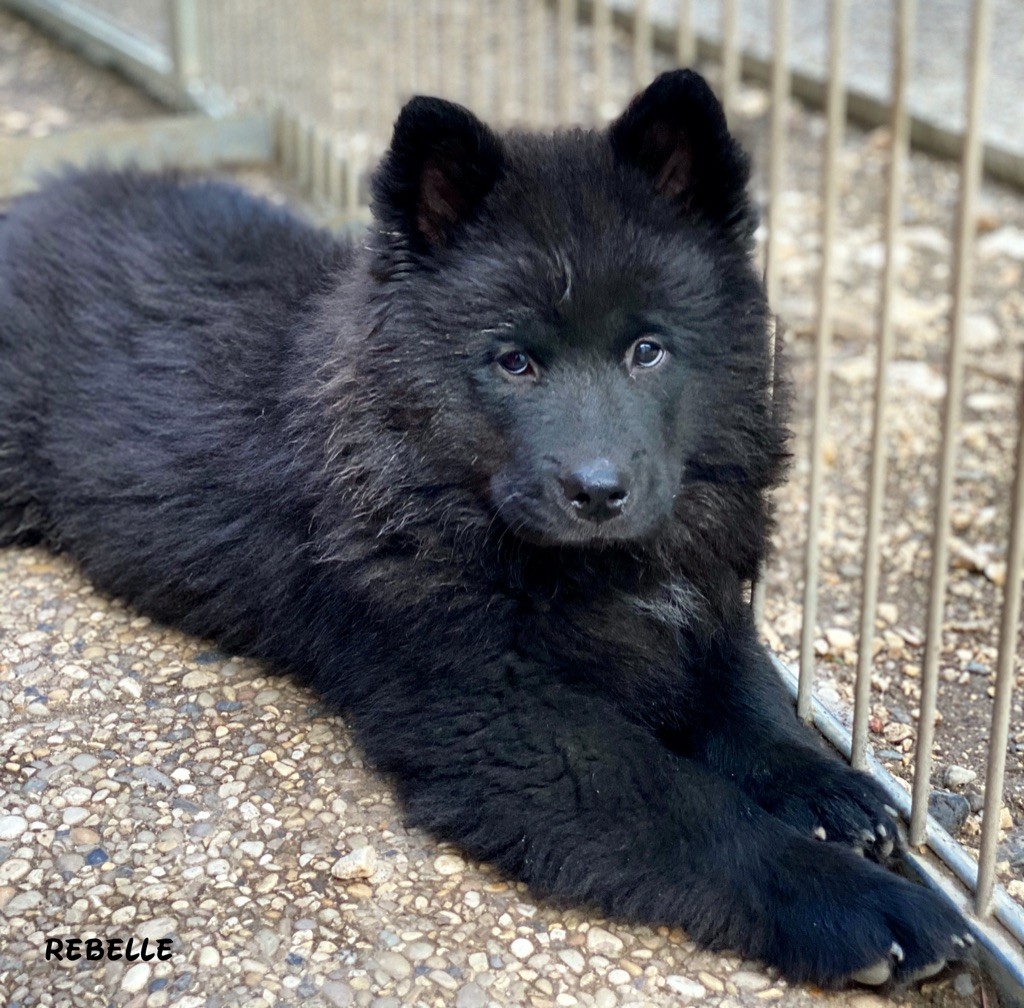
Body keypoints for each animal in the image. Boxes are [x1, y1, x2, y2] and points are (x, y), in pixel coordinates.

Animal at [0, 74, 966, 987]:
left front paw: (827, 789)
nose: (598, 492)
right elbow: (690, 803)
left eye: (648, 351)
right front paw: (858, 905)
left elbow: (754, 697)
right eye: (514, 363)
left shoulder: (702, 600)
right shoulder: (502, 717)